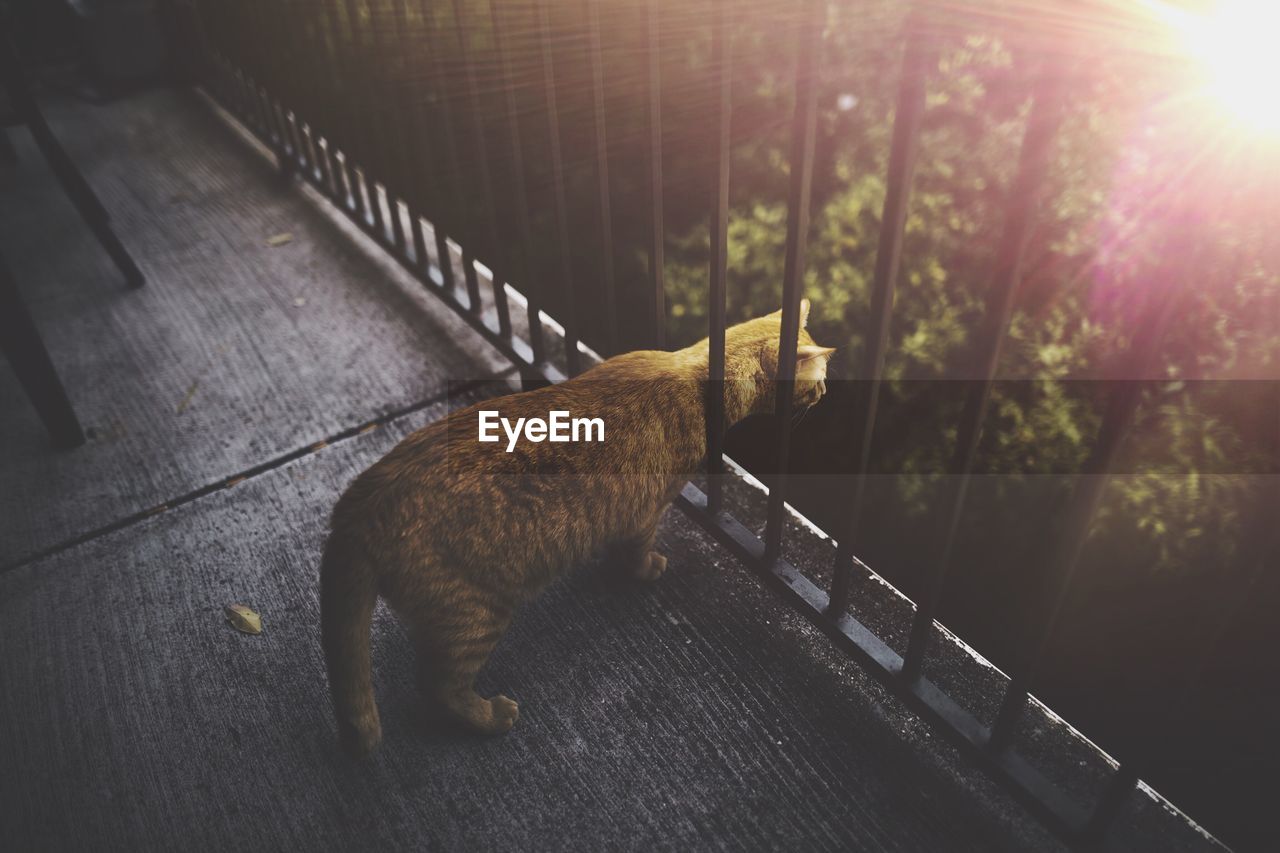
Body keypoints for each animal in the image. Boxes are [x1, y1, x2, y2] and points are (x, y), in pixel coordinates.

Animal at [325, 297, 834, 753]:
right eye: (821, 383)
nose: (826, 395)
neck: (696, 374)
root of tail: (361, 503)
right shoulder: (645, 513)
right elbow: (637, 553)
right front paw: (646, 569)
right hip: (475, 615)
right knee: (439, 687)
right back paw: (490, 717)